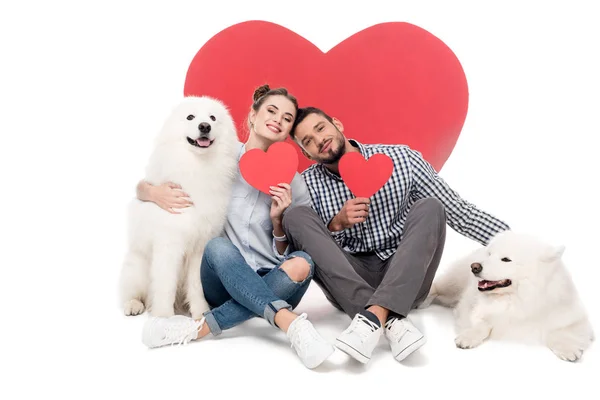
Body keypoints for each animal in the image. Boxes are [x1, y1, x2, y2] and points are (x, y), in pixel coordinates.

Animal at [118, 96, 240, 318]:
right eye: (190, 117)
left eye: (212, 118)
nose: (204, 126)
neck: (197, 167)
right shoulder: (168, 244)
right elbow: (166, 285)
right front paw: (164, 317)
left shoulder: (200, 248)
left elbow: (197, 285)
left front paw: (201, 313)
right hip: (136, 266)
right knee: (134, 292)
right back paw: (134, 305)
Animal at [422, 230, 596, 360]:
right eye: (490, 254)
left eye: (506, 259)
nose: (474, 267)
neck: (516, 298)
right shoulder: (469, 307)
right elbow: (483, 323)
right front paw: (468, 337)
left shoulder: (573, 317)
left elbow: (562, 331)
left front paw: (569, 349)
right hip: (453, 283)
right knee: (437, 286)